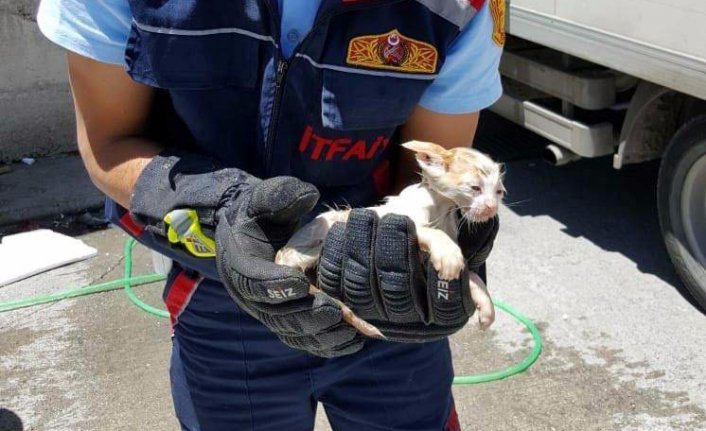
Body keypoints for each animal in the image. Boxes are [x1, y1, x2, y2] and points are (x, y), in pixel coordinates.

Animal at [274, 141, 500, 338]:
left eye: (498, 191)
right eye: (474, 188)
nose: (492, 208)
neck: (442, 209)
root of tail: (281, 257)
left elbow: (471, 274)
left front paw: (486, 306)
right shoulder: (400, 218)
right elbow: (433, 233)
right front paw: (448, 256)